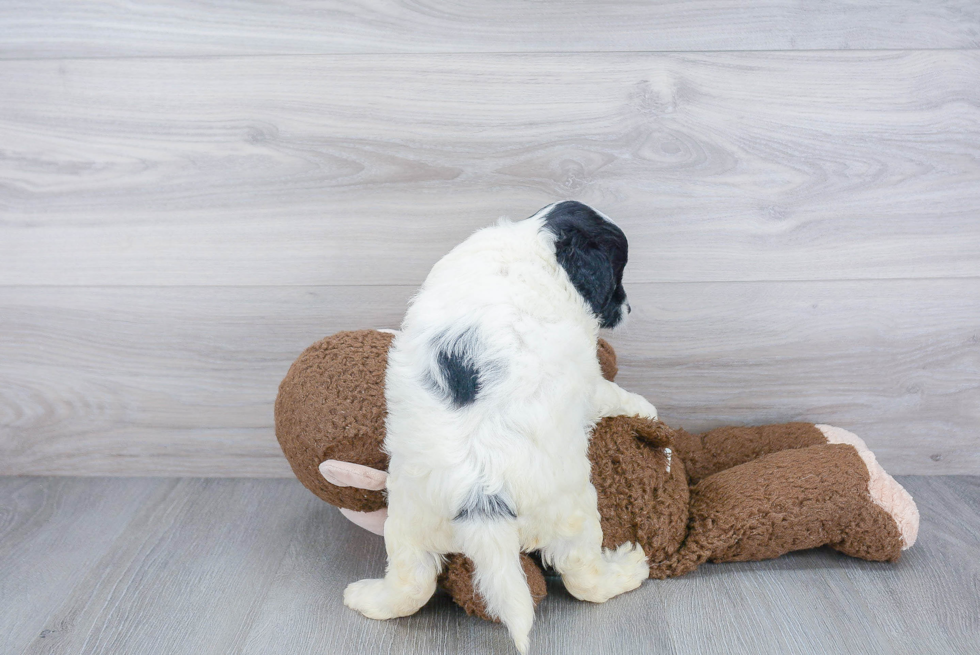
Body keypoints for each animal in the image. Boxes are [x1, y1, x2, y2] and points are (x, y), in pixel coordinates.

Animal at [344, 202, 660, 652]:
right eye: (618, 274)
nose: (629, 308)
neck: (536, 242)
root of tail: (482, 499)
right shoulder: (587, 374)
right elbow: (608, 392)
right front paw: (645, 409)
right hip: (573, 511)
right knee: (583, 577)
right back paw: (628, 569)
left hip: (408, 515)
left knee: (412, 582)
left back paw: (366, 598)